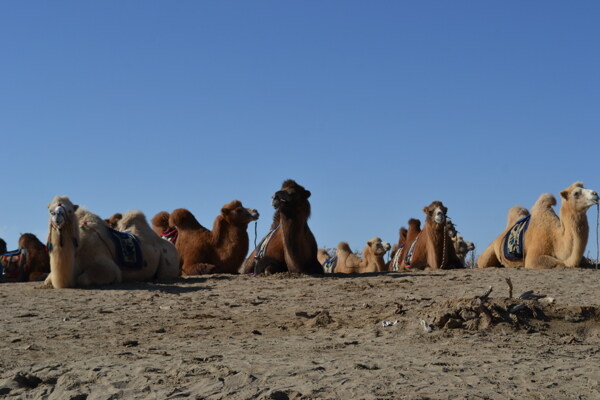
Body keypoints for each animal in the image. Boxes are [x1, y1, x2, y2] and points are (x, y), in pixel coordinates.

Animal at [45, 196, 179, 288]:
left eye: (70, 210)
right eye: (50, 210)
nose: (57, 216)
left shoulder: (108, 267)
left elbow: (82, 279)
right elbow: (47, 280)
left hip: (168, 265)